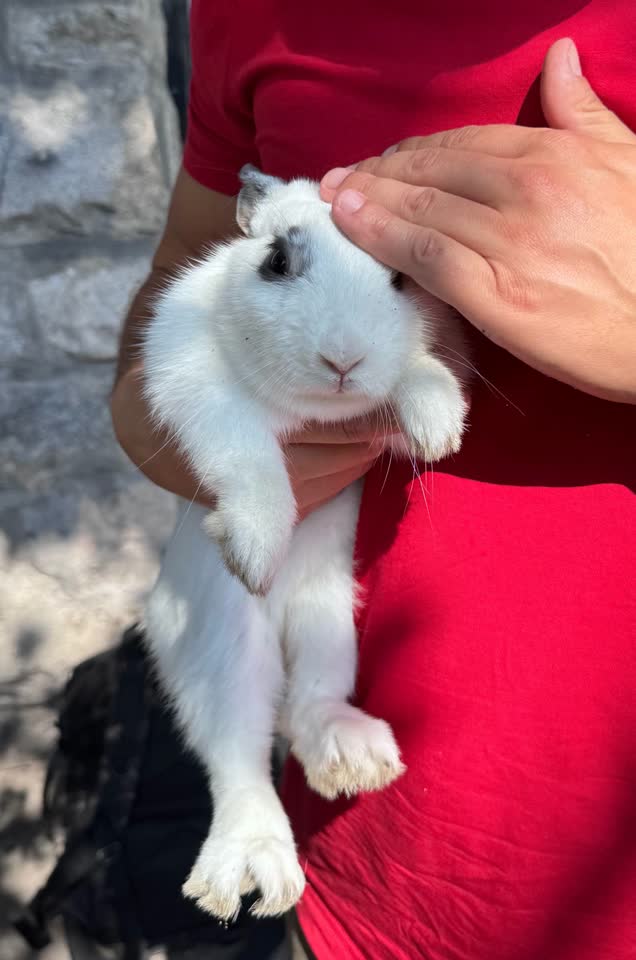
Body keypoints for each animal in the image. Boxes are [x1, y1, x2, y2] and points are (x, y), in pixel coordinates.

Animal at [141, 164, 468, 922]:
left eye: (402, 278)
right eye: (277, 262)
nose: (343, 360)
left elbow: (419, 369)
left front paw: (438, 426)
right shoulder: (192, 379)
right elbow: (246, 454)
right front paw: (255, 547)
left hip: (329, 619)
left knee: (307, 703)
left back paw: (351, 759)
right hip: (219, 644)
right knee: (238, 752)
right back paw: (247, 872)